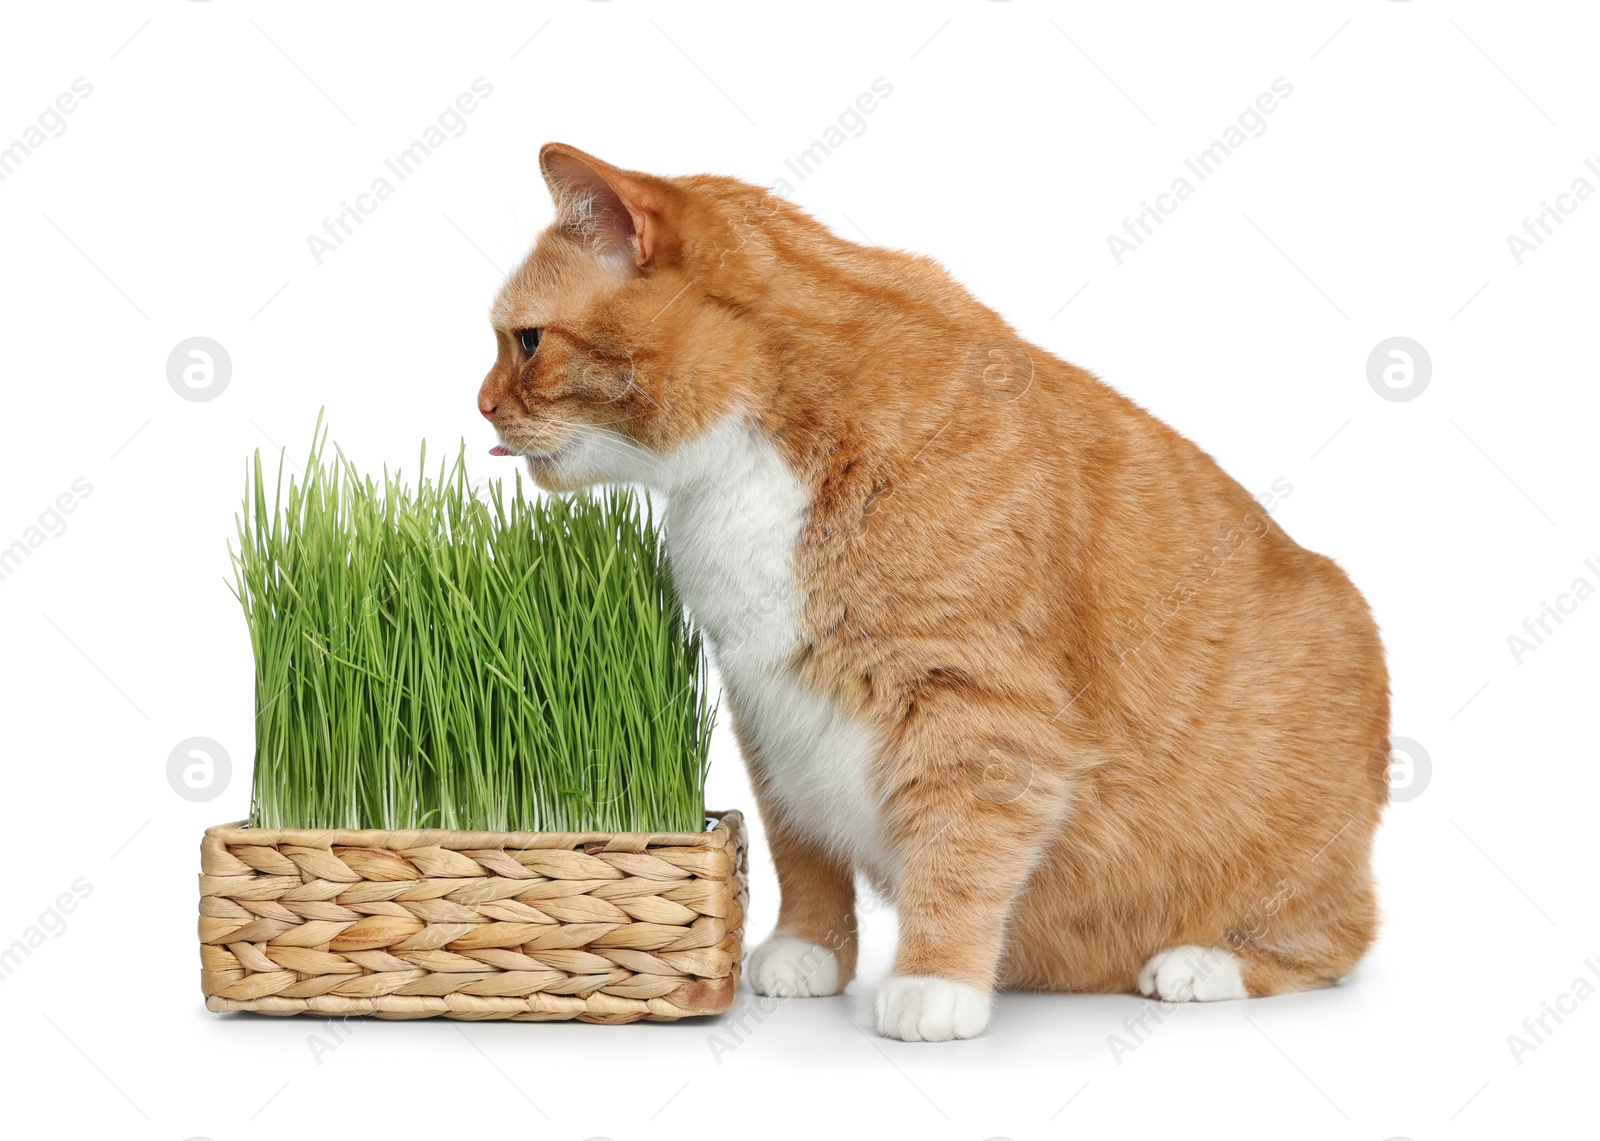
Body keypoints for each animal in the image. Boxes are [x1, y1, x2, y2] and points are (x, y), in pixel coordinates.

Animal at [473, 144, 1388, 1043]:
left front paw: (934, 980)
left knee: (1343, 935)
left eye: (527, 341)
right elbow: (801, 850)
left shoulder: (978, 711)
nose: (479, 406)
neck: (752, 459)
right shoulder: (771, 709)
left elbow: (958, 857)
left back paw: (1199, 964)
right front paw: (809, 947)